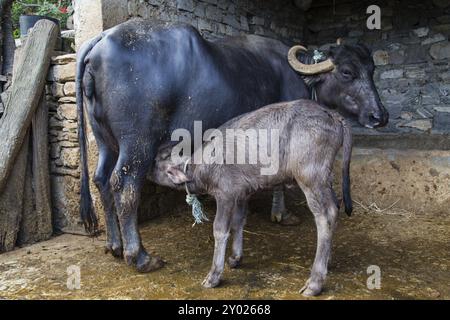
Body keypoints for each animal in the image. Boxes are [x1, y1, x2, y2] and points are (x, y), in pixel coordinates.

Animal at [76, 18, 386, 272]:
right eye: (347, 72)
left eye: (371, 70)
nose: (379, 116)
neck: (299, 77)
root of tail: (102, 38)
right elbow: (279, 181)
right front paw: (282, 214)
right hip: (137, 144)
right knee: (124, 186)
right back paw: (140, 256)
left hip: (105, 142)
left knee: (101, 179)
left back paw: (114, 246)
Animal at [153, 99, 354, 296]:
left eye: (158, 162)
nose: (148, 169)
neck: (203, 164)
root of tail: (333, 115)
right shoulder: (242, 193)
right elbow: (239, 221)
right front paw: (235, 257)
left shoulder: (225, 194)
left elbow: (220, 229)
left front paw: (213, 276)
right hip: (324, 179)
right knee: (335, 207)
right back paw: (328, 260)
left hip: (311, 177)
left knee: (326, 216)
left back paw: (315, 281)